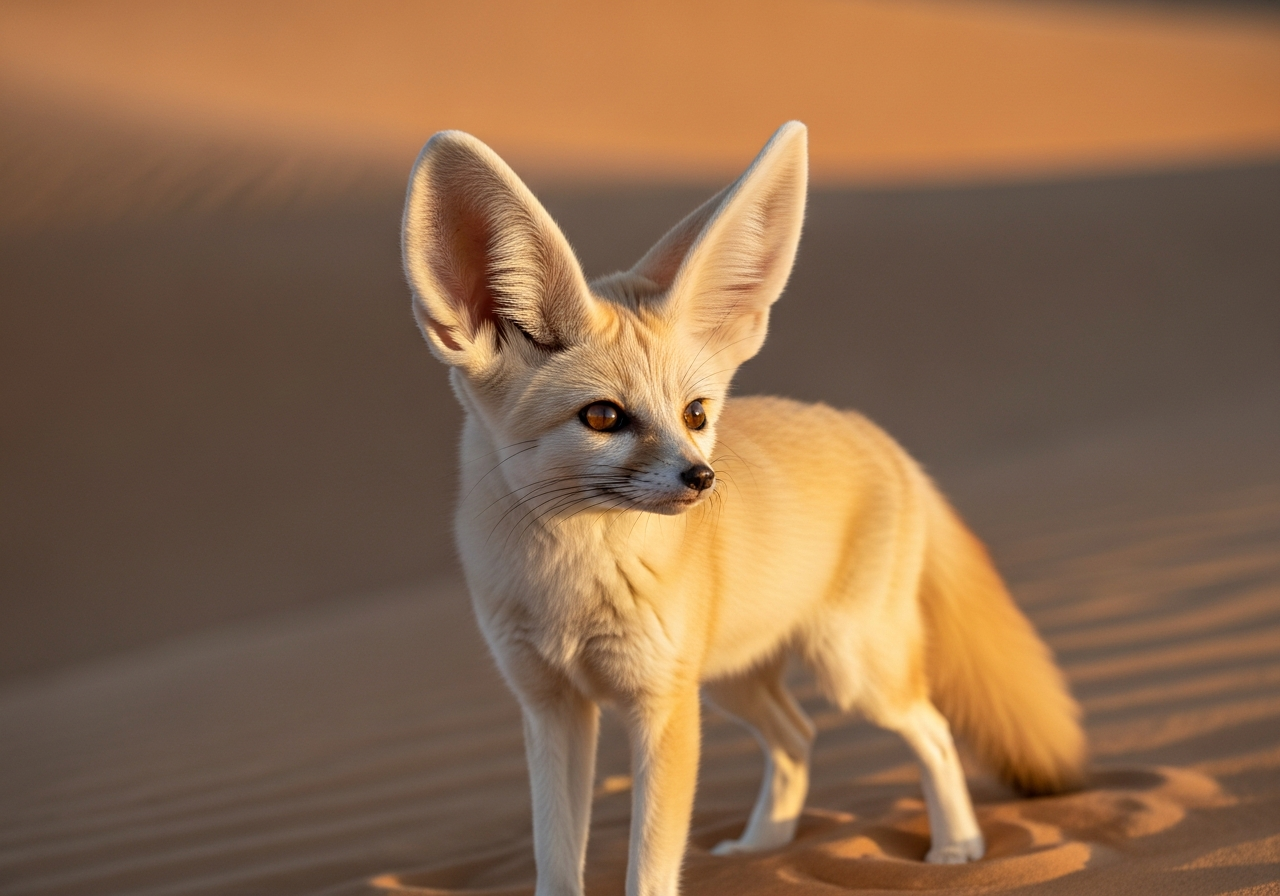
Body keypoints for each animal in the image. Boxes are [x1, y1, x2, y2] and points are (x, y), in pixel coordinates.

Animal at [400, 121, 1085, 896]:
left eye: (695, 413)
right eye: (603, 417)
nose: (701, 478)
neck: (568, 586)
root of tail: (875, 434)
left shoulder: (662, 705)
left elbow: (650, 870)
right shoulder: (552, 707)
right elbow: (556, 861)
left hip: (849, 669)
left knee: (932, 729)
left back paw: (957, 848)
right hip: (734, 681)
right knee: (797, 737)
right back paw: (764, 847)